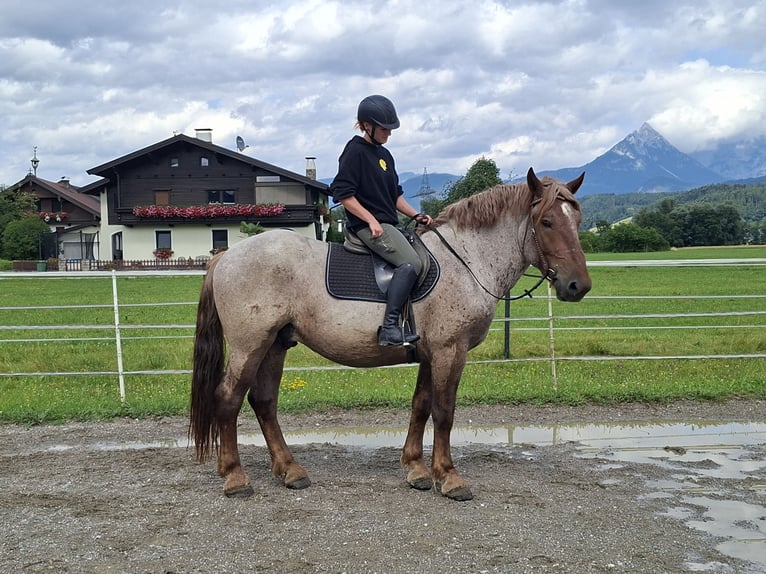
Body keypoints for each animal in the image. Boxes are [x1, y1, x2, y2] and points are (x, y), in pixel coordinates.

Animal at [190, 167, 591, 501]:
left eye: (577, 220)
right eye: (548, 222)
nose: (578, 286)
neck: (465, 260)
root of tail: (225, 256)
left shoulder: (431, 353)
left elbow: (421, 406)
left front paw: (416, 469)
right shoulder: (450, 350)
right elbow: (444, 412)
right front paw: (449, 477)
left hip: (275, 343)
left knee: (264, 402)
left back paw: (290, 470)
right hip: (250, 345)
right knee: (228, 398)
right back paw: (235, 477)